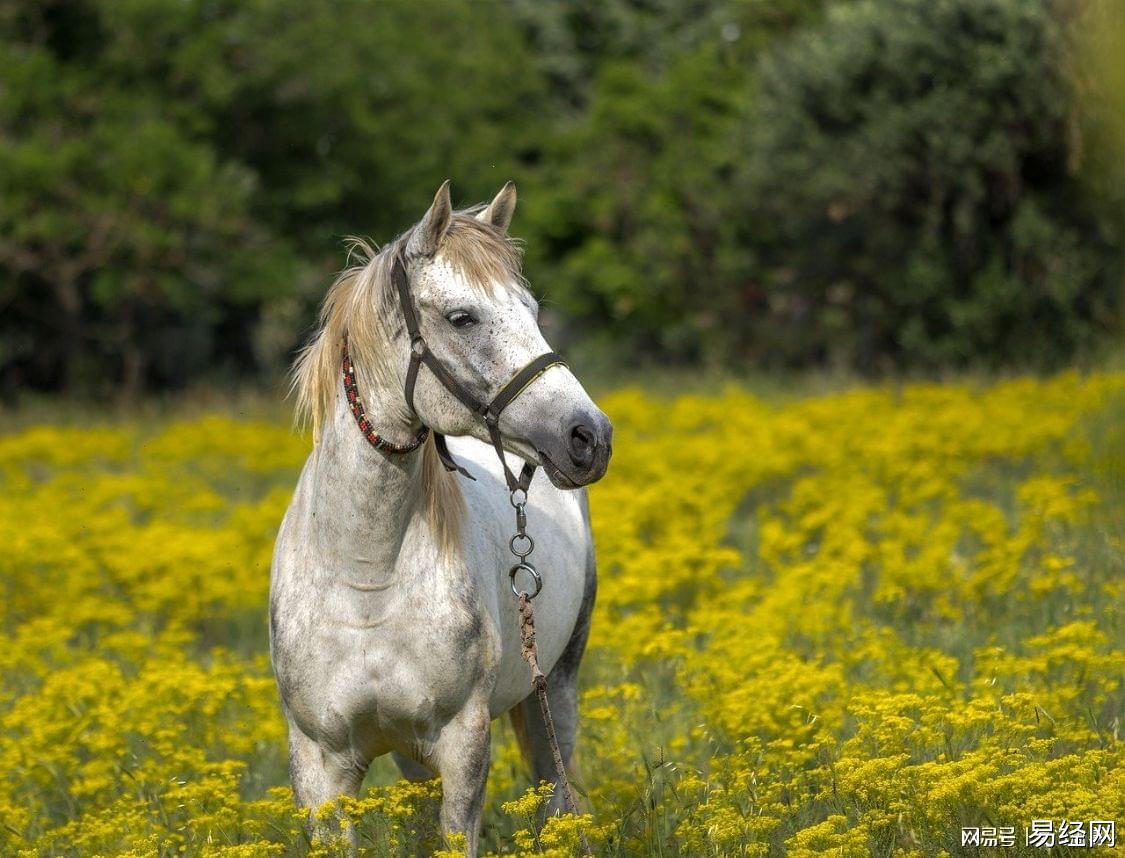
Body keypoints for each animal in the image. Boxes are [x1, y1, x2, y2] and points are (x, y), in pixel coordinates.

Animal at [267, 179, 612, 854]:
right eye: (462, 318)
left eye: (533, 310)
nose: (590, 437)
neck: (366, 576)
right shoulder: (320, 764)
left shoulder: (462, 744)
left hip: (554, 690)